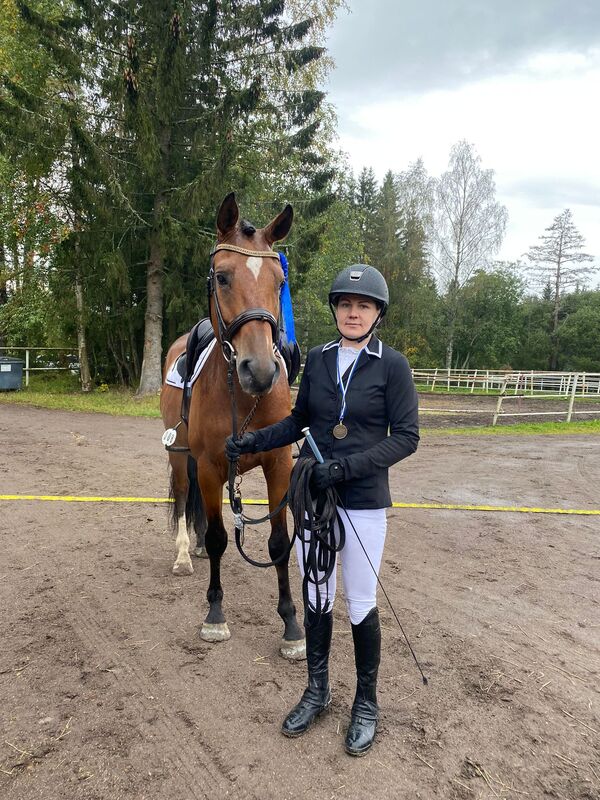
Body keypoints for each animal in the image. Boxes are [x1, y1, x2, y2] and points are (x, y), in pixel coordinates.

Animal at [160, 192, 305, 660]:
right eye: (222, 277)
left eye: (279, 282)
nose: (259, 370)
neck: (242, 396)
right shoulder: (207, 465)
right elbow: (222, 539)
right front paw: (215, 614)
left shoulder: (278, 464)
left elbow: (277, 543)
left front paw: (292, 625)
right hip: (180, 457)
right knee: (185, 499)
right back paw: (186, 554)